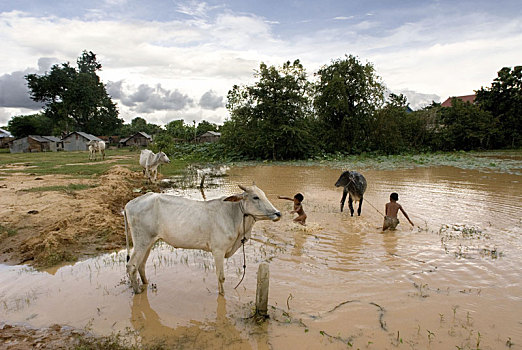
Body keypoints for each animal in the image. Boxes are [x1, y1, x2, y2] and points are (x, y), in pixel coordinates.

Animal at [124, 185, 280, 294]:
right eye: (255, 197)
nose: (278, 213)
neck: (234, 215)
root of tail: (129, 204)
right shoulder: (218, 250)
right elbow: (221, 277)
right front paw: (222, 295)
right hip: (141, 241)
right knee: (131, 265)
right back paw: (137, 291)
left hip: (149, 242)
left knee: (141, 265)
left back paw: (145, 284)